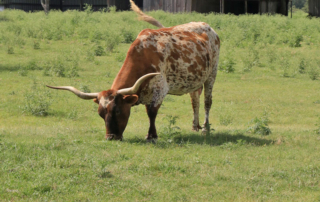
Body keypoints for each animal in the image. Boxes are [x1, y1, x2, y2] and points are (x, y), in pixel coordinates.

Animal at [46, 0, 220, 141]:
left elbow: (151, 112)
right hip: (195, 79)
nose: (110, 138)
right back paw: (195, 126)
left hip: (211, 75)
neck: (144, 54)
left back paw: (205, 128)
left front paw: (151, 136)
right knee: (195, 100)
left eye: (117, 111)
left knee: (207, 101)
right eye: (101, 113)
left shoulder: (160, 89)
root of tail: (208, 27)